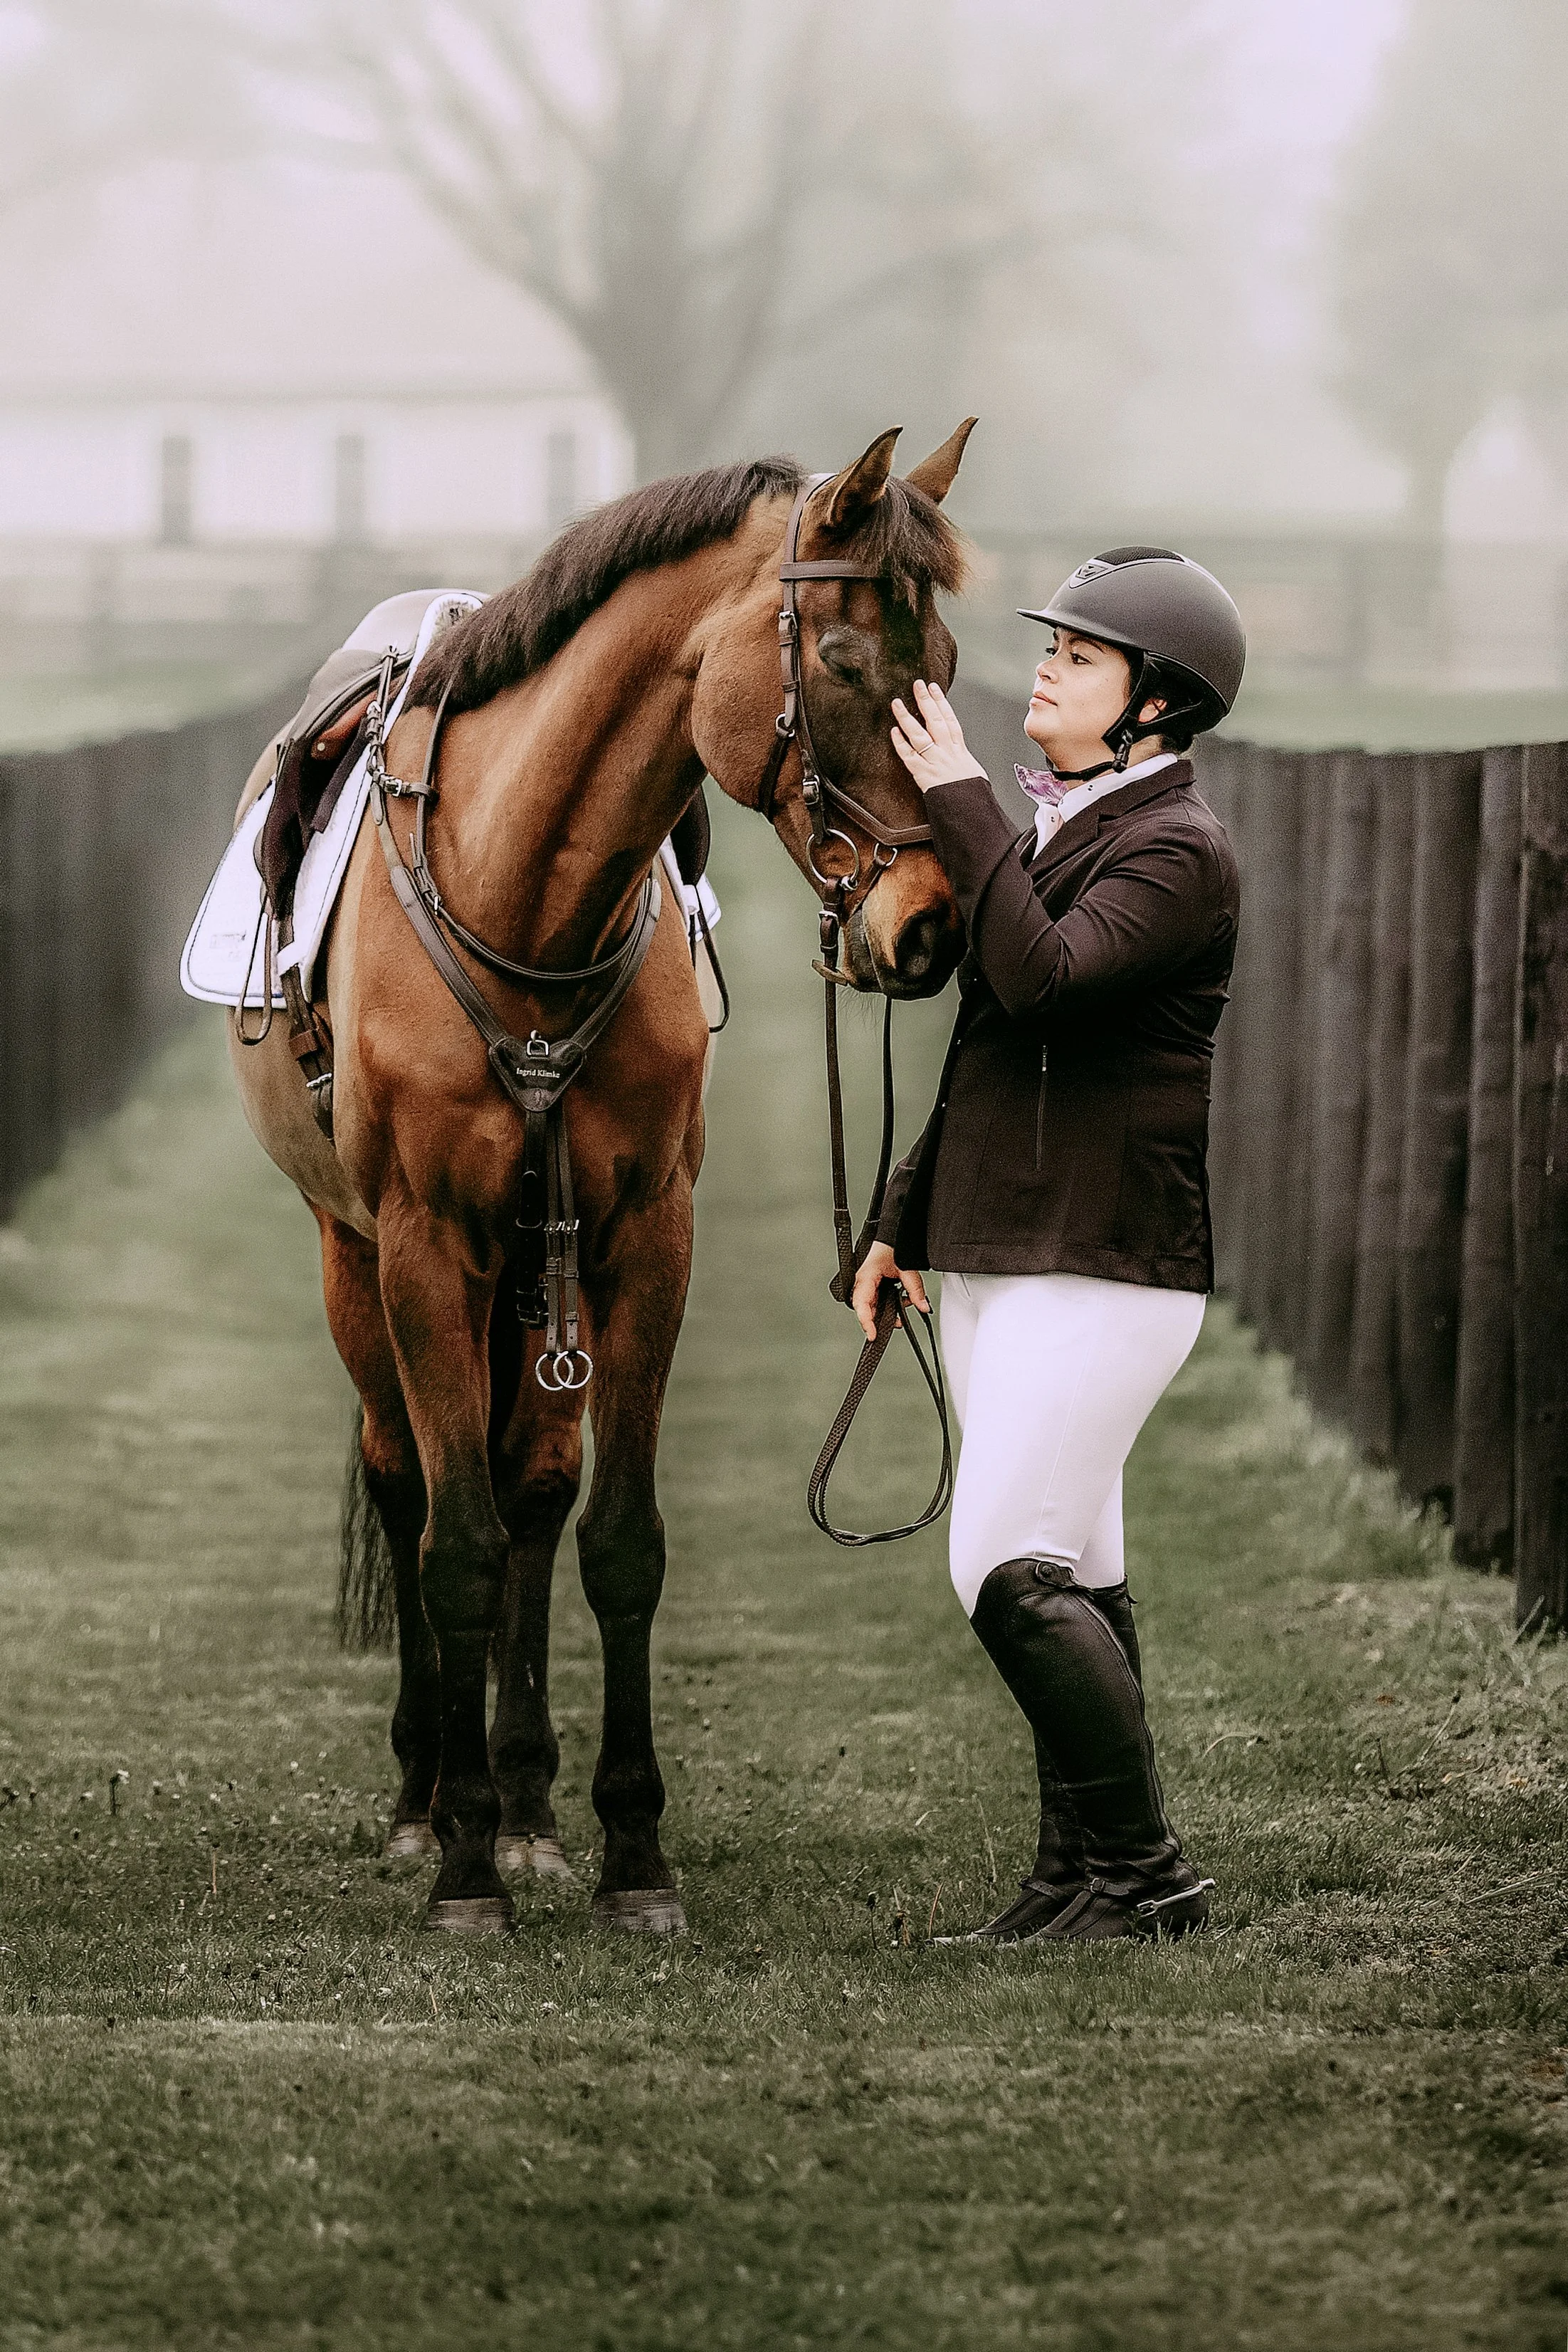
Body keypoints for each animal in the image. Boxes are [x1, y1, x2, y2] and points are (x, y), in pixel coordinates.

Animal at [226, 420, 975, 1933]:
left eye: (947, 664)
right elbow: (450, 1545)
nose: (927, 926)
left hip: (533, 1273)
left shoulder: (641, 1240)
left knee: (529, 1484)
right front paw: (459, 1868)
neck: (519, 896)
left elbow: (613, 1538)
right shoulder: (423, 1243)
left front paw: (627, 1847)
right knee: (411, 1488)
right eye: (847, 661)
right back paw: (430, 1797)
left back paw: (520, 1802)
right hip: (357, 1259)